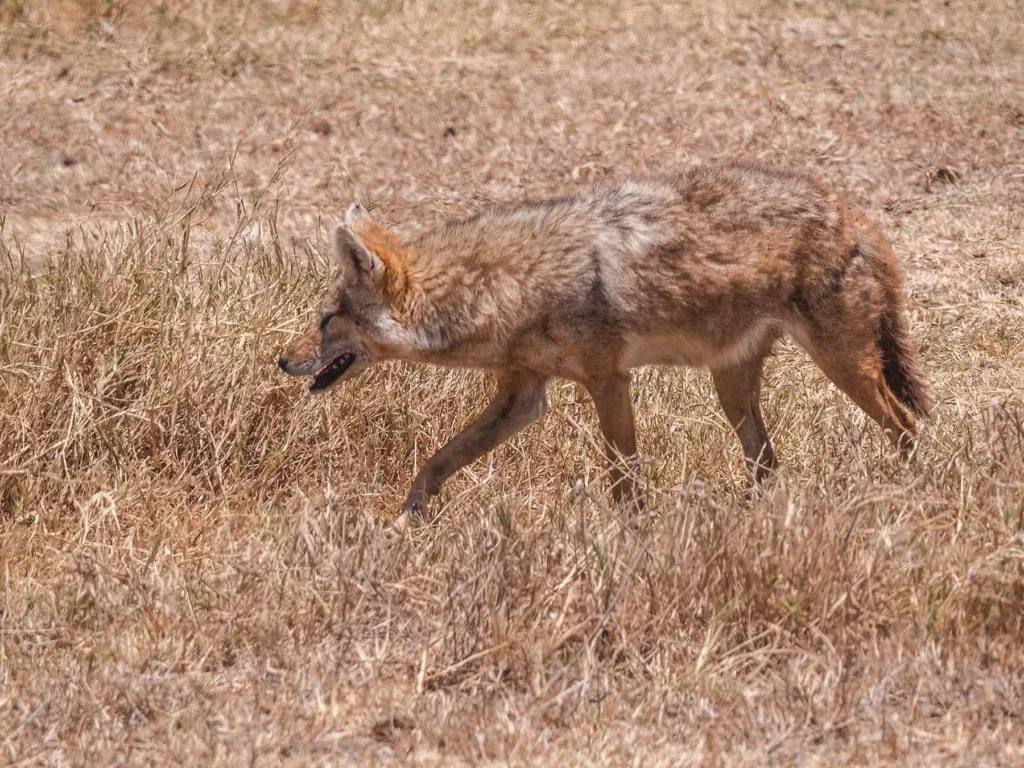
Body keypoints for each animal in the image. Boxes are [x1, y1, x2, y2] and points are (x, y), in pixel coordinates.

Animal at [278, 162, 930, 519]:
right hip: (734, 388)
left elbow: (622, 478)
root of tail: (855, 213)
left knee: (906, 425)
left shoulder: (608, 379)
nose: (283, 360)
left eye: (325, 320)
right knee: (768, 464)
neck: (506, 286)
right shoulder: (522, 396)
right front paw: (402, 525)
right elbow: (435, 464)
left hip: (843, 367)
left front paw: (632, 536)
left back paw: (912, 495)